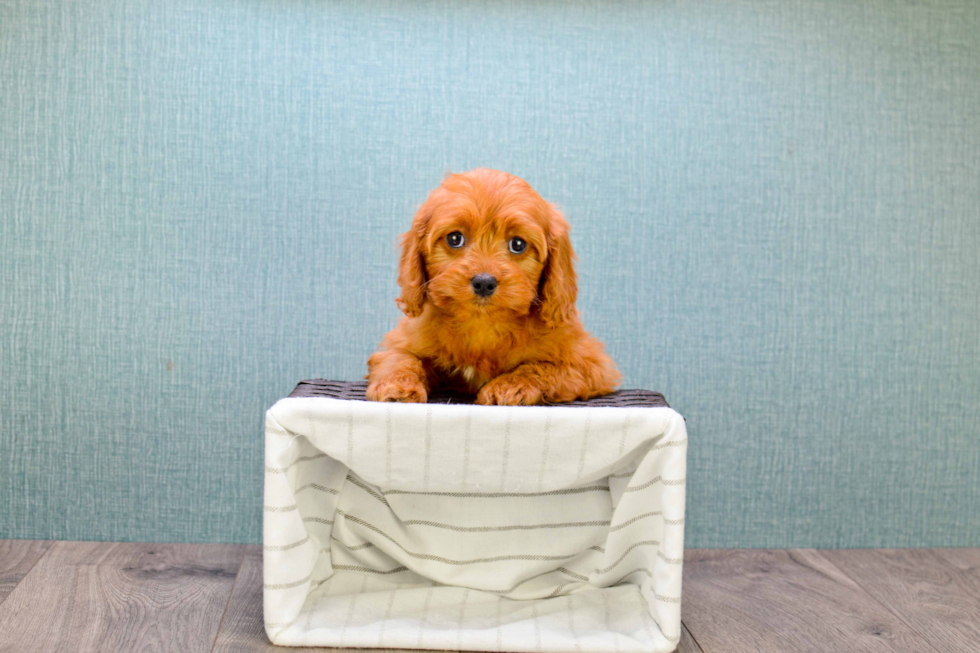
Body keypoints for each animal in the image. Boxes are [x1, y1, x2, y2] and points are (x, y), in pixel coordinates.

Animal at [368, 168, 620, 402]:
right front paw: (397, 386)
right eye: (454, 238)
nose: (483, 282)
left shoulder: (590, 364)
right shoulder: (402, 341)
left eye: (518, 244)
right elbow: (400, 358)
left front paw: (507, 386)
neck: (482, 323)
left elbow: (541, 367)